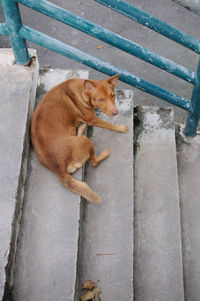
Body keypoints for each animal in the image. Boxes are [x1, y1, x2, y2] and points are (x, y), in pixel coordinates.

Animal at [31, 74, 128, 203]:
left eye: (113, 95)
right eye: (100, 100)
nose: (115, 112)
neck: (82, 90)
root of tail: (59, 169)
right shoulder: (93, 119)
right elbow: (109, 124)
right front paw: (120, 127)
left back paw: (81, 128)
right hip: (85, 141)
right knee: (93, 161)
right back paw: (105, 153)